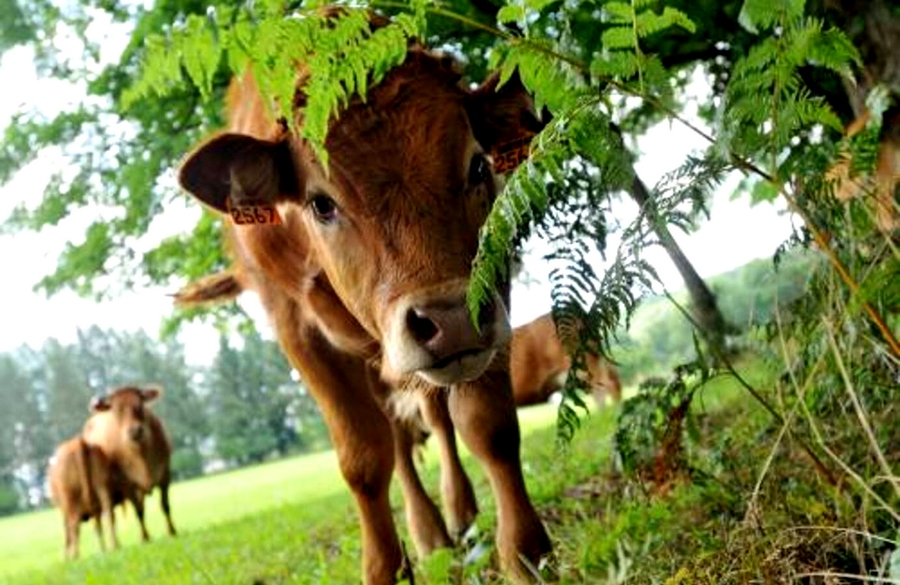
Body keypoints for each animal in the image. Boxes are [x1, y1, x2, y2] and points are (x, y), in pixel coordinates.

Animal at [82, 386, 178, 540]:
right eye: (116, 411)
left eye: (140, 405)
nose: (134, 430)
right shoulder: (127, 484)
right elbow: (139, 511)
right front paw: (145, 537)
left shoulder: (165, 474)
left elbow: (165, 505)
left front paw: (172, 531)